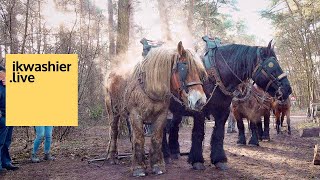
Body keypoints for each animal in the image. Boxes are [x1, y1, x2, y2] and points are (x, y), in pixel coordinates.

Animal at [105, 41, 208, 176]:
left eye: (200, 71)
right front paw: (138, 168)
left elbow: (156, 139)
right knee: (114, 131)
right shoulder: (135, 115)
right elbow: (139, 139)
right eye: (184, 68)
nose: (200, 101)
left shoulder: (161, 115)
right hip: (113, 111)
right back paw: (112, 157)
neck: (150, 87)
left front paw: (157, 165)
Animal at [162, 36, 292, 170]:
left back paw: (174, 152)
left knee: (173, 126)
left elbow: (219, 134)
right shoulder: (199, 109)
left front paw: (219, 159)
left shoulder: (223, 111)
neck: (213, 76)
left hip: (177, 111)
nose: (287, 89)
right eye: (271, 66)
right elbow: (198, 133)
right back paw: (166, 155)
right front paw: (197, 160)